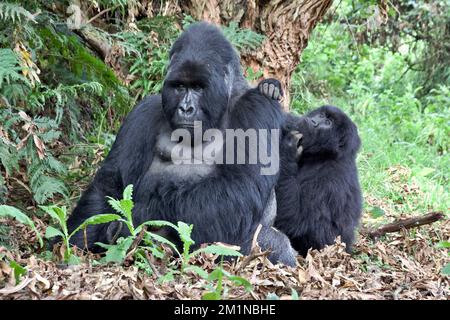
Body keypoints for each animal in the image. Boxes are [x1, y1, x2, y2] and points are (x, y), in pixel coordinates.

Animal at [67, 22, 298, 266]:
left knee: (271, 242)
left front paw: (142, 214)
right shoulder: (143, 111)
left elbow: (240, 187)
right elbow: (111, 183)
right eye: (179, 86)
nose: (185, 108)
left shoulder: (258, 106)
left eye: (198, 87)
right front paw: (77, 238)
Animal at [258, 79, 364, 255]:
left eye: (327, 124)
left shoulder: (330, 178)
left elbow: (299, 222)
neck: (325, 154)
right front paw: (270, 87)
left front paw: (288, 150)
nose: (313, 121)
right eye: (322, 115)